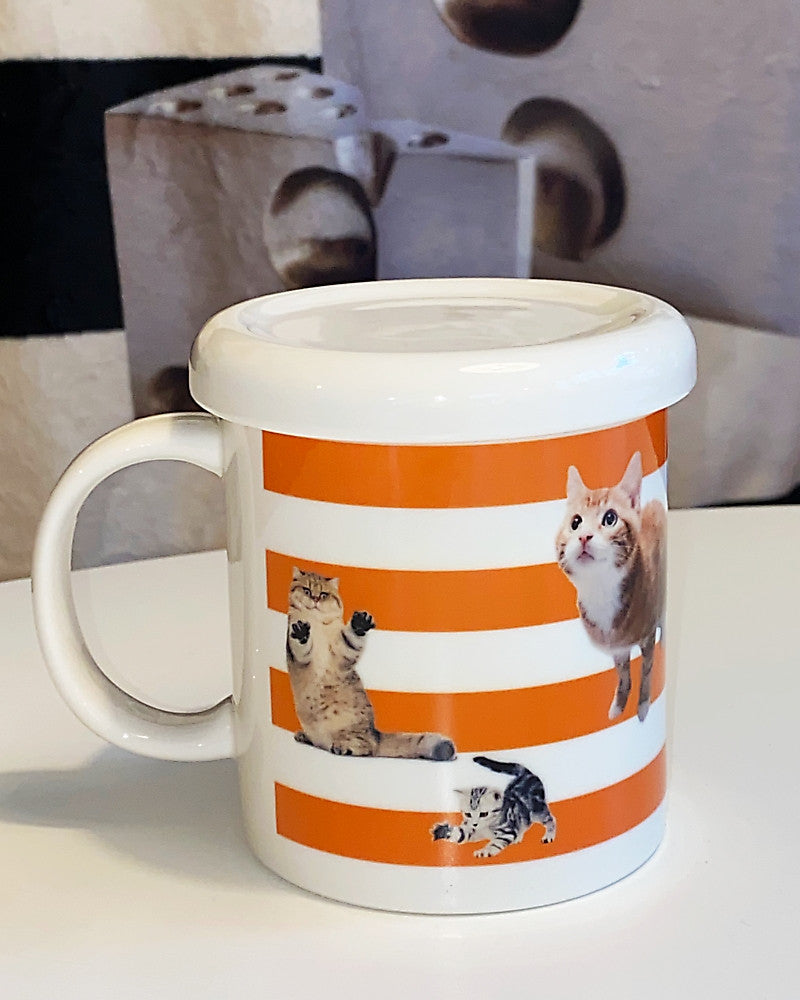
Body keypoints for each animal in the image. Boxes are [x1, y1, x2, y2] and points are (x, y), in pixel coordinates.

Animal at [285, 568, 456, 760]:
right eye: (306, 590)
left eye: (323, 594)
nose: (314, 599)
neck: (316, 624)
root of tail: (376, 734)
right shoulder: (297, 652)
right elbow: (300, 645)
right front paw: (302, 632)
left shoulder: (341, 652)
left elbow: (350, 639)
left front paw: (359, 624)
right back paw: (305, 736)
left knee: (366, 747)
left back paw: (343, 746)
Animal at [555, 452, 666, 722]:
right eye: (576, 522)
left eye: (610, 518)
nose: (584, 537)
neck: (601, 591)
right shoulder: (617, 646)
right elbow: (623, 673)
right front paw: (619, 704)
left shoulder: (647, 636)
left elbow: (647, 672)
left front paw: (643, 706)